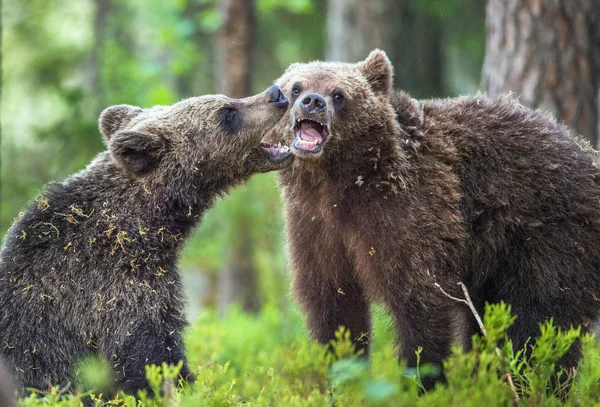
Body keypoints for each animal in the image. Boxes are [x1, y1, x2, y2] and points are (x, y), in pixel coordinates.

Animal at [262, 50, 600, 388]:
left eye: (339, 94)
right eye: (296, 87)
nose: (312, 101)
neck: (337, 185)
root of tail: (588, 155)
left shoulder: (408, 213)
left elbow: (420, 302)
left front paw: (423, 380)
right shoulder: (316, 227)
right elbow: (335, 307)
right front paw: (341, 380)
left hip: (550, 236)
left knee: (539, 320)